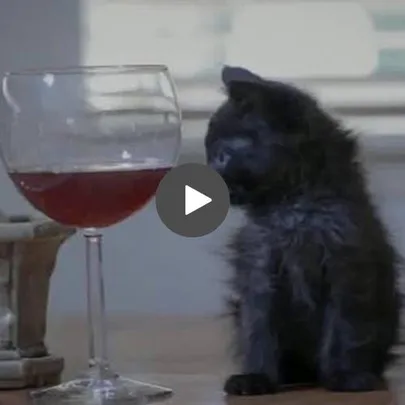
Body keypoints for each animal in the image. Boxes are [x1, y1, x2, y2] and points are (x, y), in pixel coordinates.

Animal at [205, 66, 400, 394]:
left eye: (222, 155)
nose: (208, 175)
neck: (293, 213)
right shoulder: (259, 270)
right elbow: (258, 329)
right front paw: (256, 378)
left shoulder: (348, 266)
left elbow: (345, 327)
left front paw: (346, 376)